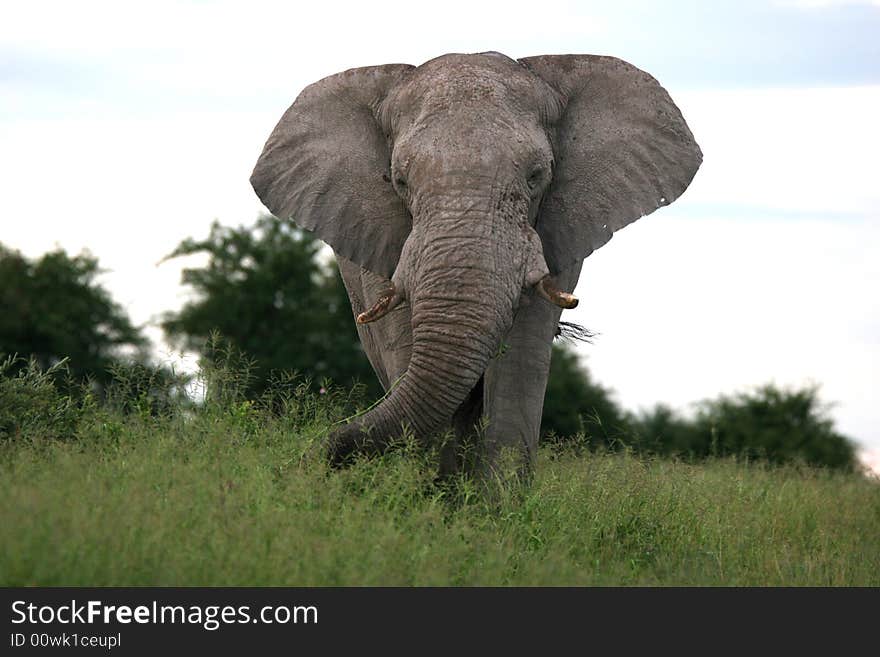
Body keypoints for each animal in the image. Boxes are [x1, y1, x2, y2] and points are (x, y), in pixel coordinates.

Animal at [249, 51, 700, 480]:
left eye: (536, 176)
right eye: (399, 181)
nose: (311, 460)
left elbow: (521, 358)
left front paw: (492, 504)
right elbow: (407, 348)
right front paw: (424, 495)